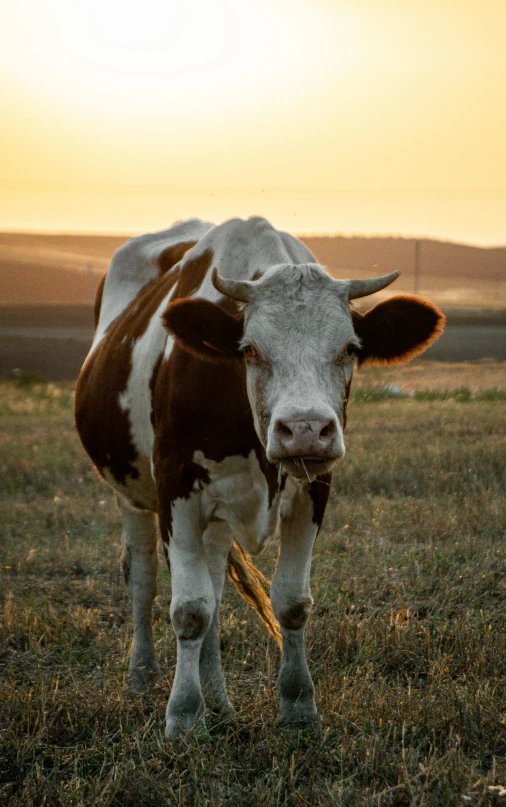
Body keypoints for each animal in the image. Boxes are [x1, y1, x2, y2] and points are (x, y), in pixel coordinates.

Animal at [74, 215, 442, 740]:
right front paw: (182, 715)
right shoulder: (175, 489)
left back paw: (218, 698)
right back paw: (142, 678)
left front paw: (298, 705)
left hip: (218, 516)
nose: (305, 429)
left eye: (350, 349)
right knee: (142, 576)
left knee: (214, 583)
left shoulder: (313, 488)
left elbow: (288, 600)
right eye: (249, 350)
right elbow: (189, 608)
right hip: (132, 494)